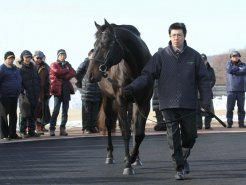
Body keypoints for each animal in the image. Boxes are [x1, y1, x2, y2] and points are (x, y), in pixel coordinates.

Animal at [86, 19, 153, 175]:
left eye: (104, 44)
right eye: (94, 44)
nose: (90, 75)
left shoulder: (144, 102)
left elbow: (139, 133)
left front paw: (133, 157)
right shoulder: (120, 100)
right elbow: (125, 132)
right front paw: (128, 164)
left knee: (133, 124)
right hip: (107, 99)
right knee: (109, 124)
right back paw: (110, 156)